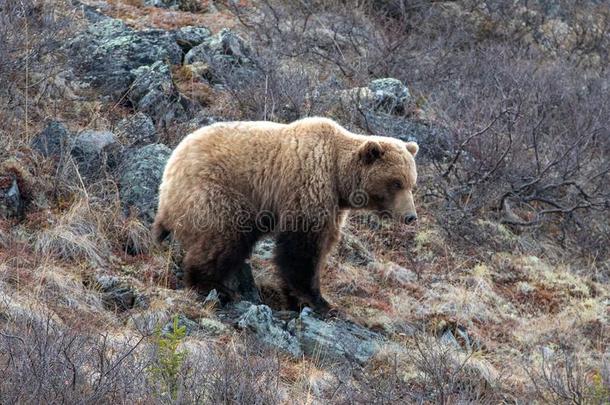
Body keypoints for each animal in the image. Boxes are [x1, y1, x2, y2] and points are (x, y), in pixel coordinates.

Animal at [152, 117, 418, 312]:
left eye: (411, 183)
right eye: (396, 182)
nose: (410, 216)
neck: (338, 177)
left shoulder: (333, 206)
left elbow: (322, 246)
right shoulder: (308, 186)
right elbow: (301, 248)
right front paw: (317, 301)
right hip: (216, 192)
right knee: (224, 235)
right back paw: (216, 287)